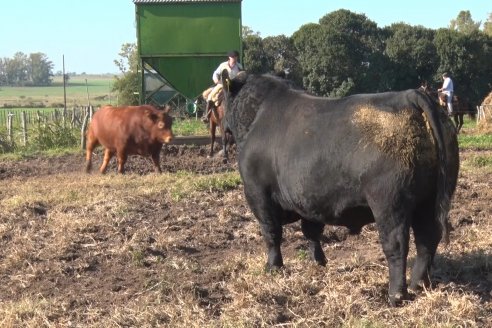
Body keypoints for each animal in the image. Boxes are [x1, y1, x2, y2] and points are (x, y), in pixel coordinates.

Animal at [221, 70, 460, 306]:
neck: (258, 115)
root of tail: (409, 95)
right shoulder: (309, 199)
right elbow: (311, 231)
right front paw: (318, 262)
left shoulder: (258, 194)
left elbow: (272, 234)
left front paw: (273, 267)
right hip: (429, 200)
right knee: (427, 239)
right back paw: (418, 284)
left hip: (389, 204)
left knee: (397, 245)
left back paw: (396, 295)